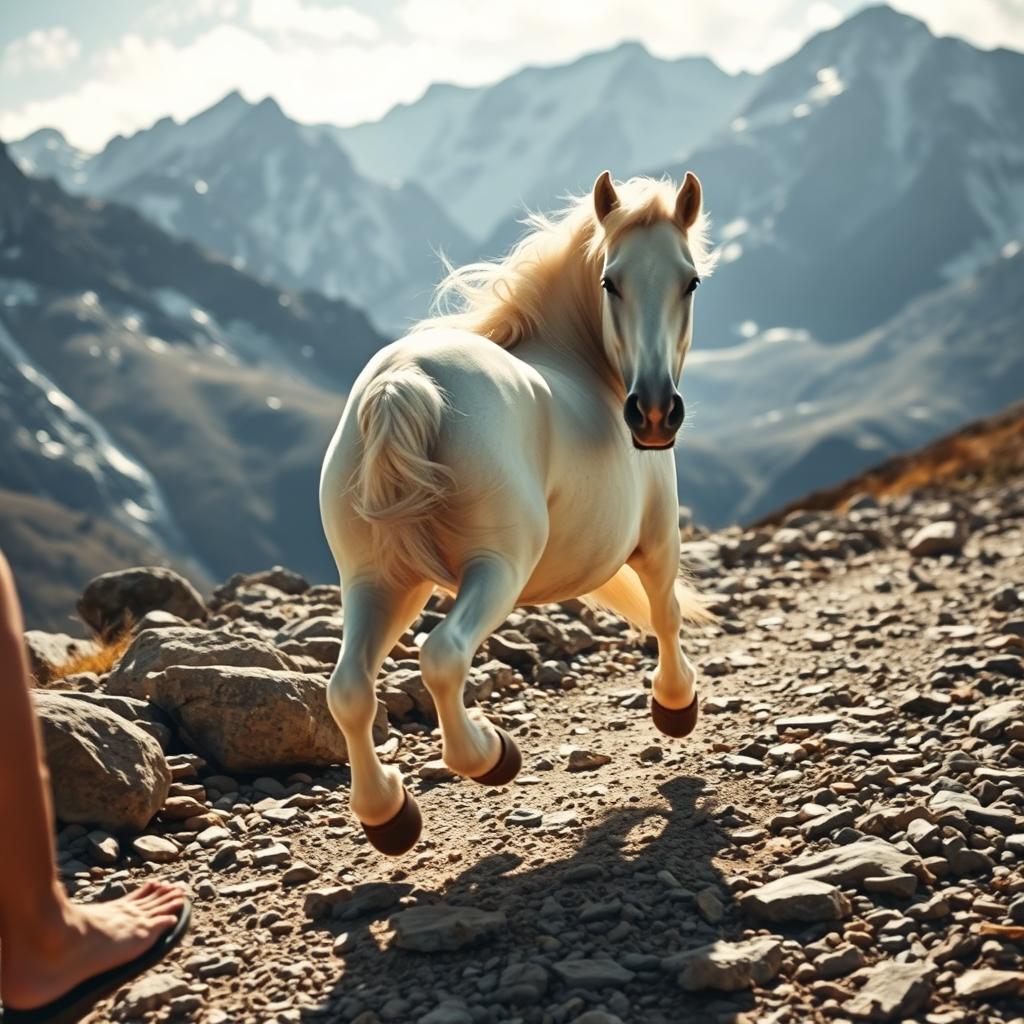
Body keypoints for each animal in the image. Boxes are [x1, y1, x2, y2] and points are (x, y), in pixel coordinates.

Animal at [317, 169, 712, 856]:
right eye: (611, 281)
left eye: (688, 280)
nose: (656, 414)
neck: (583, 363)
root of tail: (402, 385)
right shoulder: (658, 536)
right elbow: (665, 613)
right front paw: (675, 706)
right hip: (495, 569)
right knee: (442, 657)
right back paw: (490, 755)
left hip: (380, 583)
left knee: (349, 691)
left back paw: (389, 814)